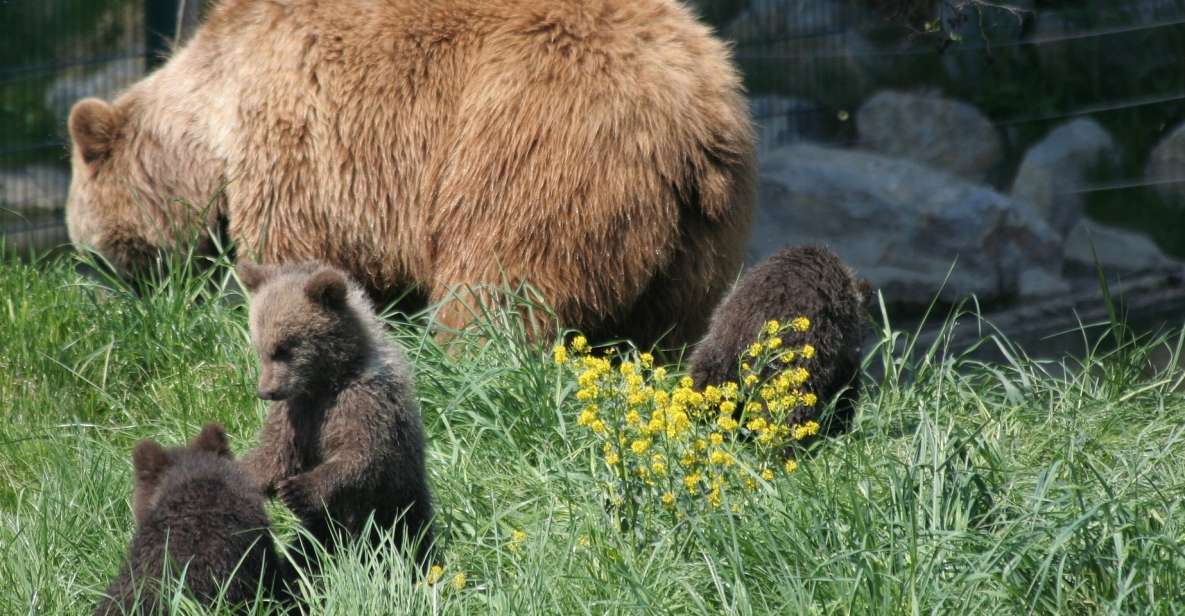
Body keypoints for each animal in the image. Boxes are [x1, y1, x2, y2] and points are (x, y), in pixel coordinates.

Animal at [64, 0, 753, 345]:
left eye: (88, 245)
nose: (98, 291)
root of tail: (695, 112)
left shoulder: (298, 138)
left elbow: (293, 249)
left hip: (532, 142)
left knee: (497, 281)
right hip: (702, 236)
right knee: (671, 326)